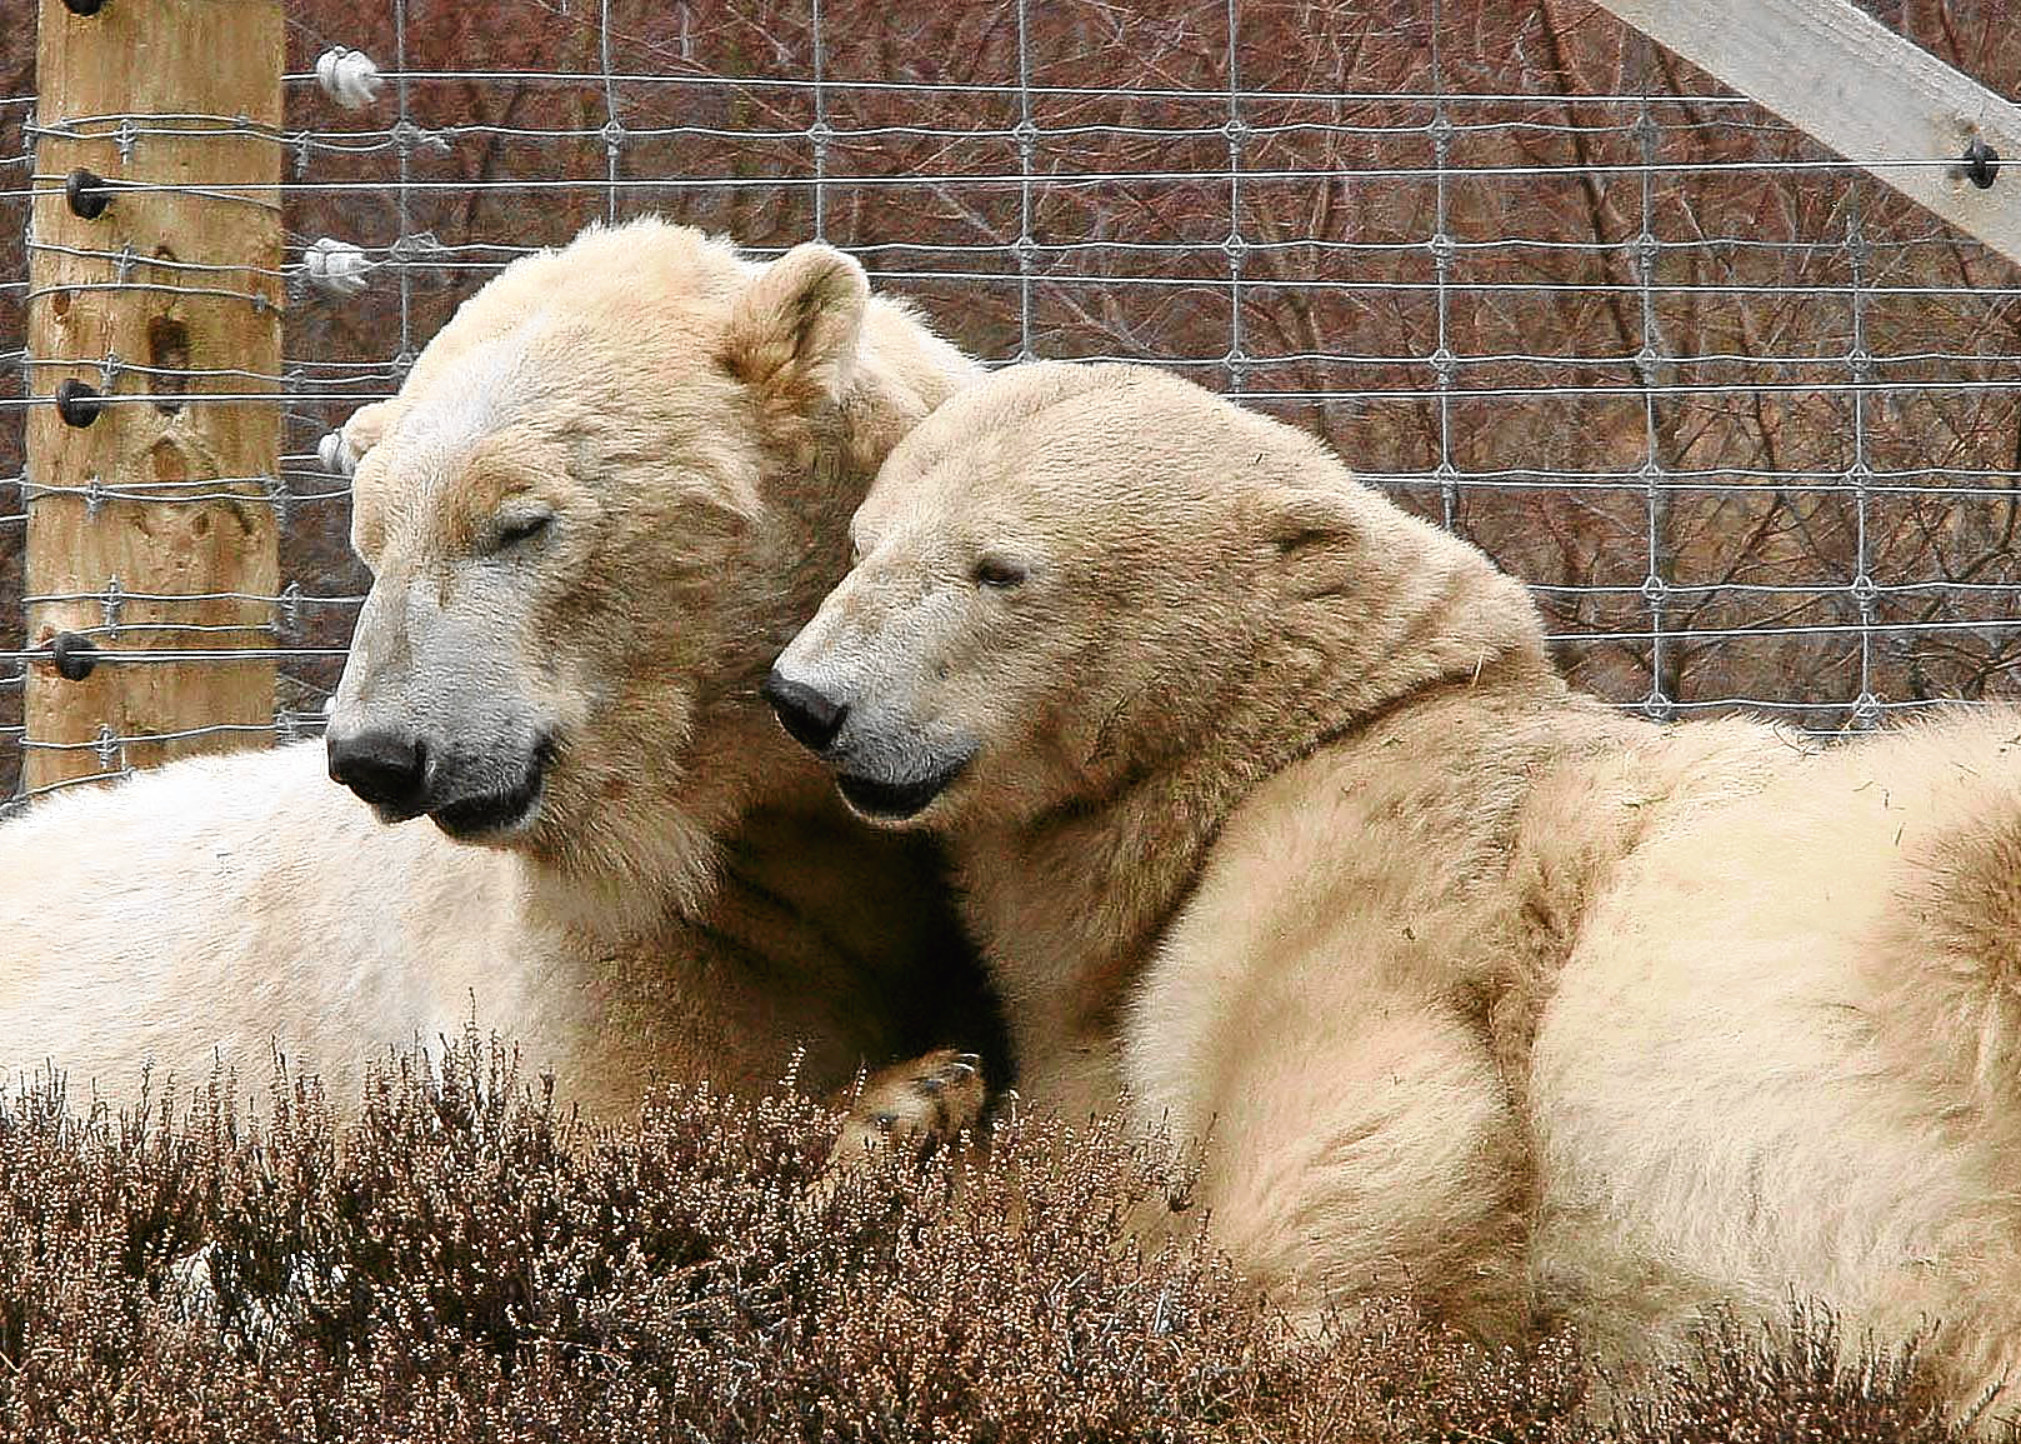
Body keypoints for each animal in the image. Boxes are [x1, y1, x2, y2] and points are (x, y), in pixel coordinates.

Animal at [763, 359, 2020, 1415]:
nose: (804, 699)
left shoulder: (1349, 876)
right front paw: (913, 1103)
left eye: (998, 567)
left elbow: (1327, 1211)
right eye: (860, 541)